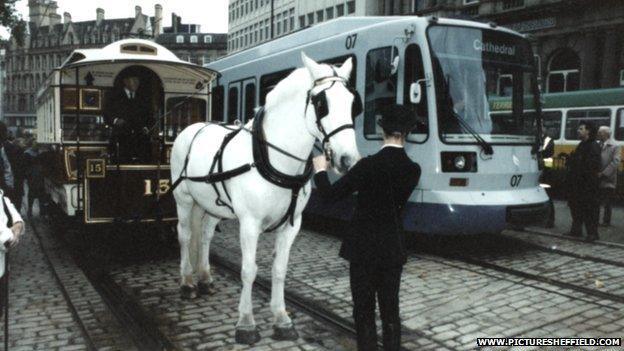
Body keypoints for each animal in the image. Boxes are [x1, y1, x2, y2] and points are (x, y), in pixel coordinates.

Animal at [171, 53, 360, 346]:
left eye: (352, 102)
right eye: (321, 104)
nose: (348, 160)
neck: (271, 158)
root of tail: (191, 128)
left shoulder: (292, 224)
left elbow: (279, 269)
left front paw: (282, 319)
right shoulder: (249, 224)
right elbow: (249, 270)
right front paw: (246, 323)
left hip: (212, 206)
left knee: (204, 236)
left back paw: (205, 278)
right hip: (184, 199)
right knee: (185, 235)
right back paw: (188, 282)